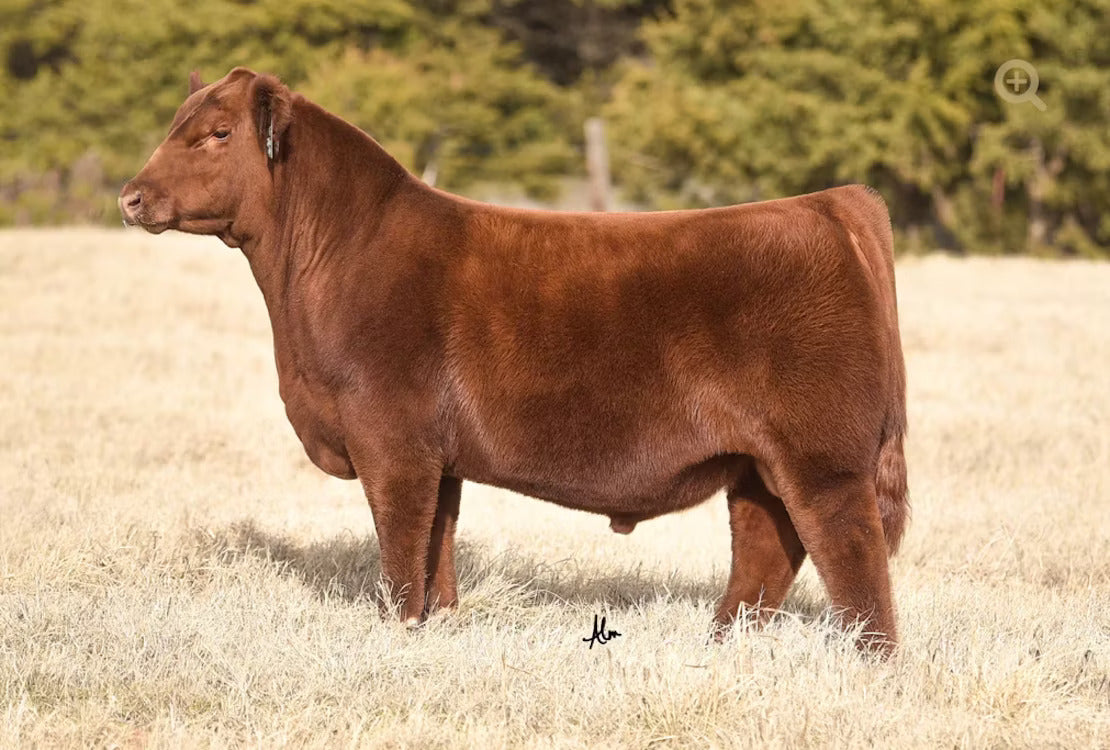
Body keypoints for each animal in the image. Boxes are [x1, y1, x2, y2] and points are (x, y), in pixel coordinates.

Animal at [120, 67, 909, 654]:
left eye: (218, 134)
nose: (131, 196)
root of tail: (828, 204)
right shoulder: (437, 455)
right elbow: (436, 546)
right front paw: (437, 625)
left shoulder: (391, 442)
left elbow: (399, 546)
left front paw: (397, 631)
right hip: (757, 464)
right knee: (766, 550)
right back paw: (722, 645)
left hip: (822, 458)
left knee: (851, 552)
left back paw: (870, 660)